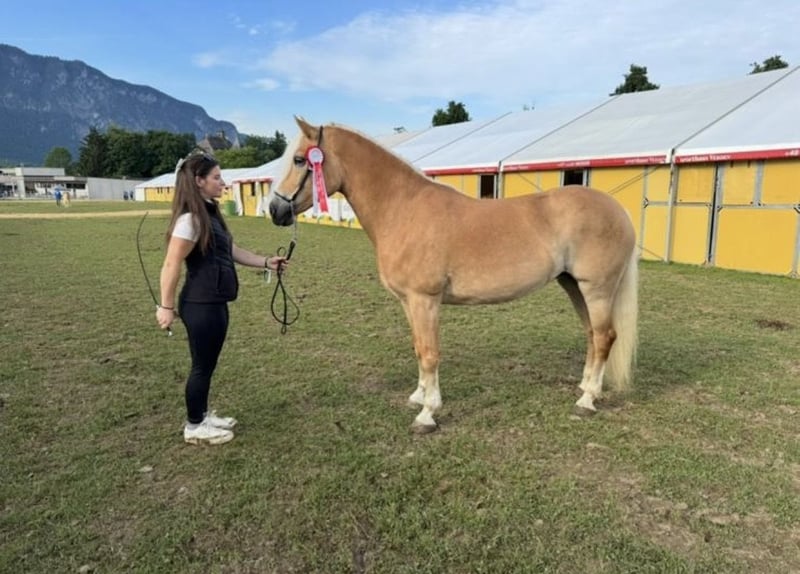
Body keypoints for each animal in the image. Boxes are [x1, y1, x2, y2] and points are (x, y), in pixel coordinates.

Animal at [270, 117, 638, 433]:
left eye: (300, 160)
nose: (275, 210)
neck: (403, 209)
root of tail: (618, 210)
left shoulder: (425, 300)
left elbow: (430, 353)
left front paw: (427, 414)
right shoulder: (409, 302)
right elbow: (418, 348)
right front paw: (418, 397)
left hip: (597, 289)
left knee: (604, 337)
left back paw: (587, 400)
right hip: (573, 285)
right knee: (592, 335)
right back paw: (585, 386)